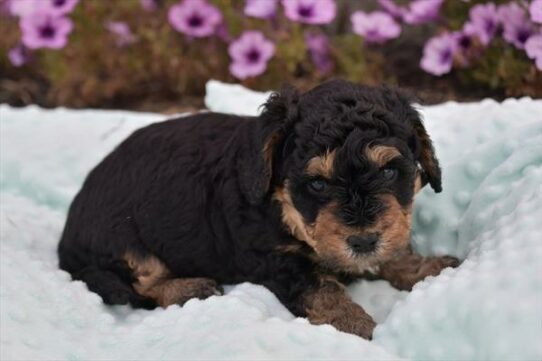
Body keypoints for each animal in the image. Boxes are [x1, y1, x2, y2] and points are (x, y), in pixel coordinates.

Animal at [58, 79, 460, 338]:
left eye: (390, 171)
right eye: (317, 184)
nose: (362, 242)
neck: (284, 207)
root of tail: (66, 240)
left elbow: (394, 250)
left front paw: (428, 267)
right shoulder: (275, 259)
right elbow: (321, 289)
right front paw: (358, 325)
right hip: (121, 239)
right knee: (139, 284)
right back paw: (190, 288)